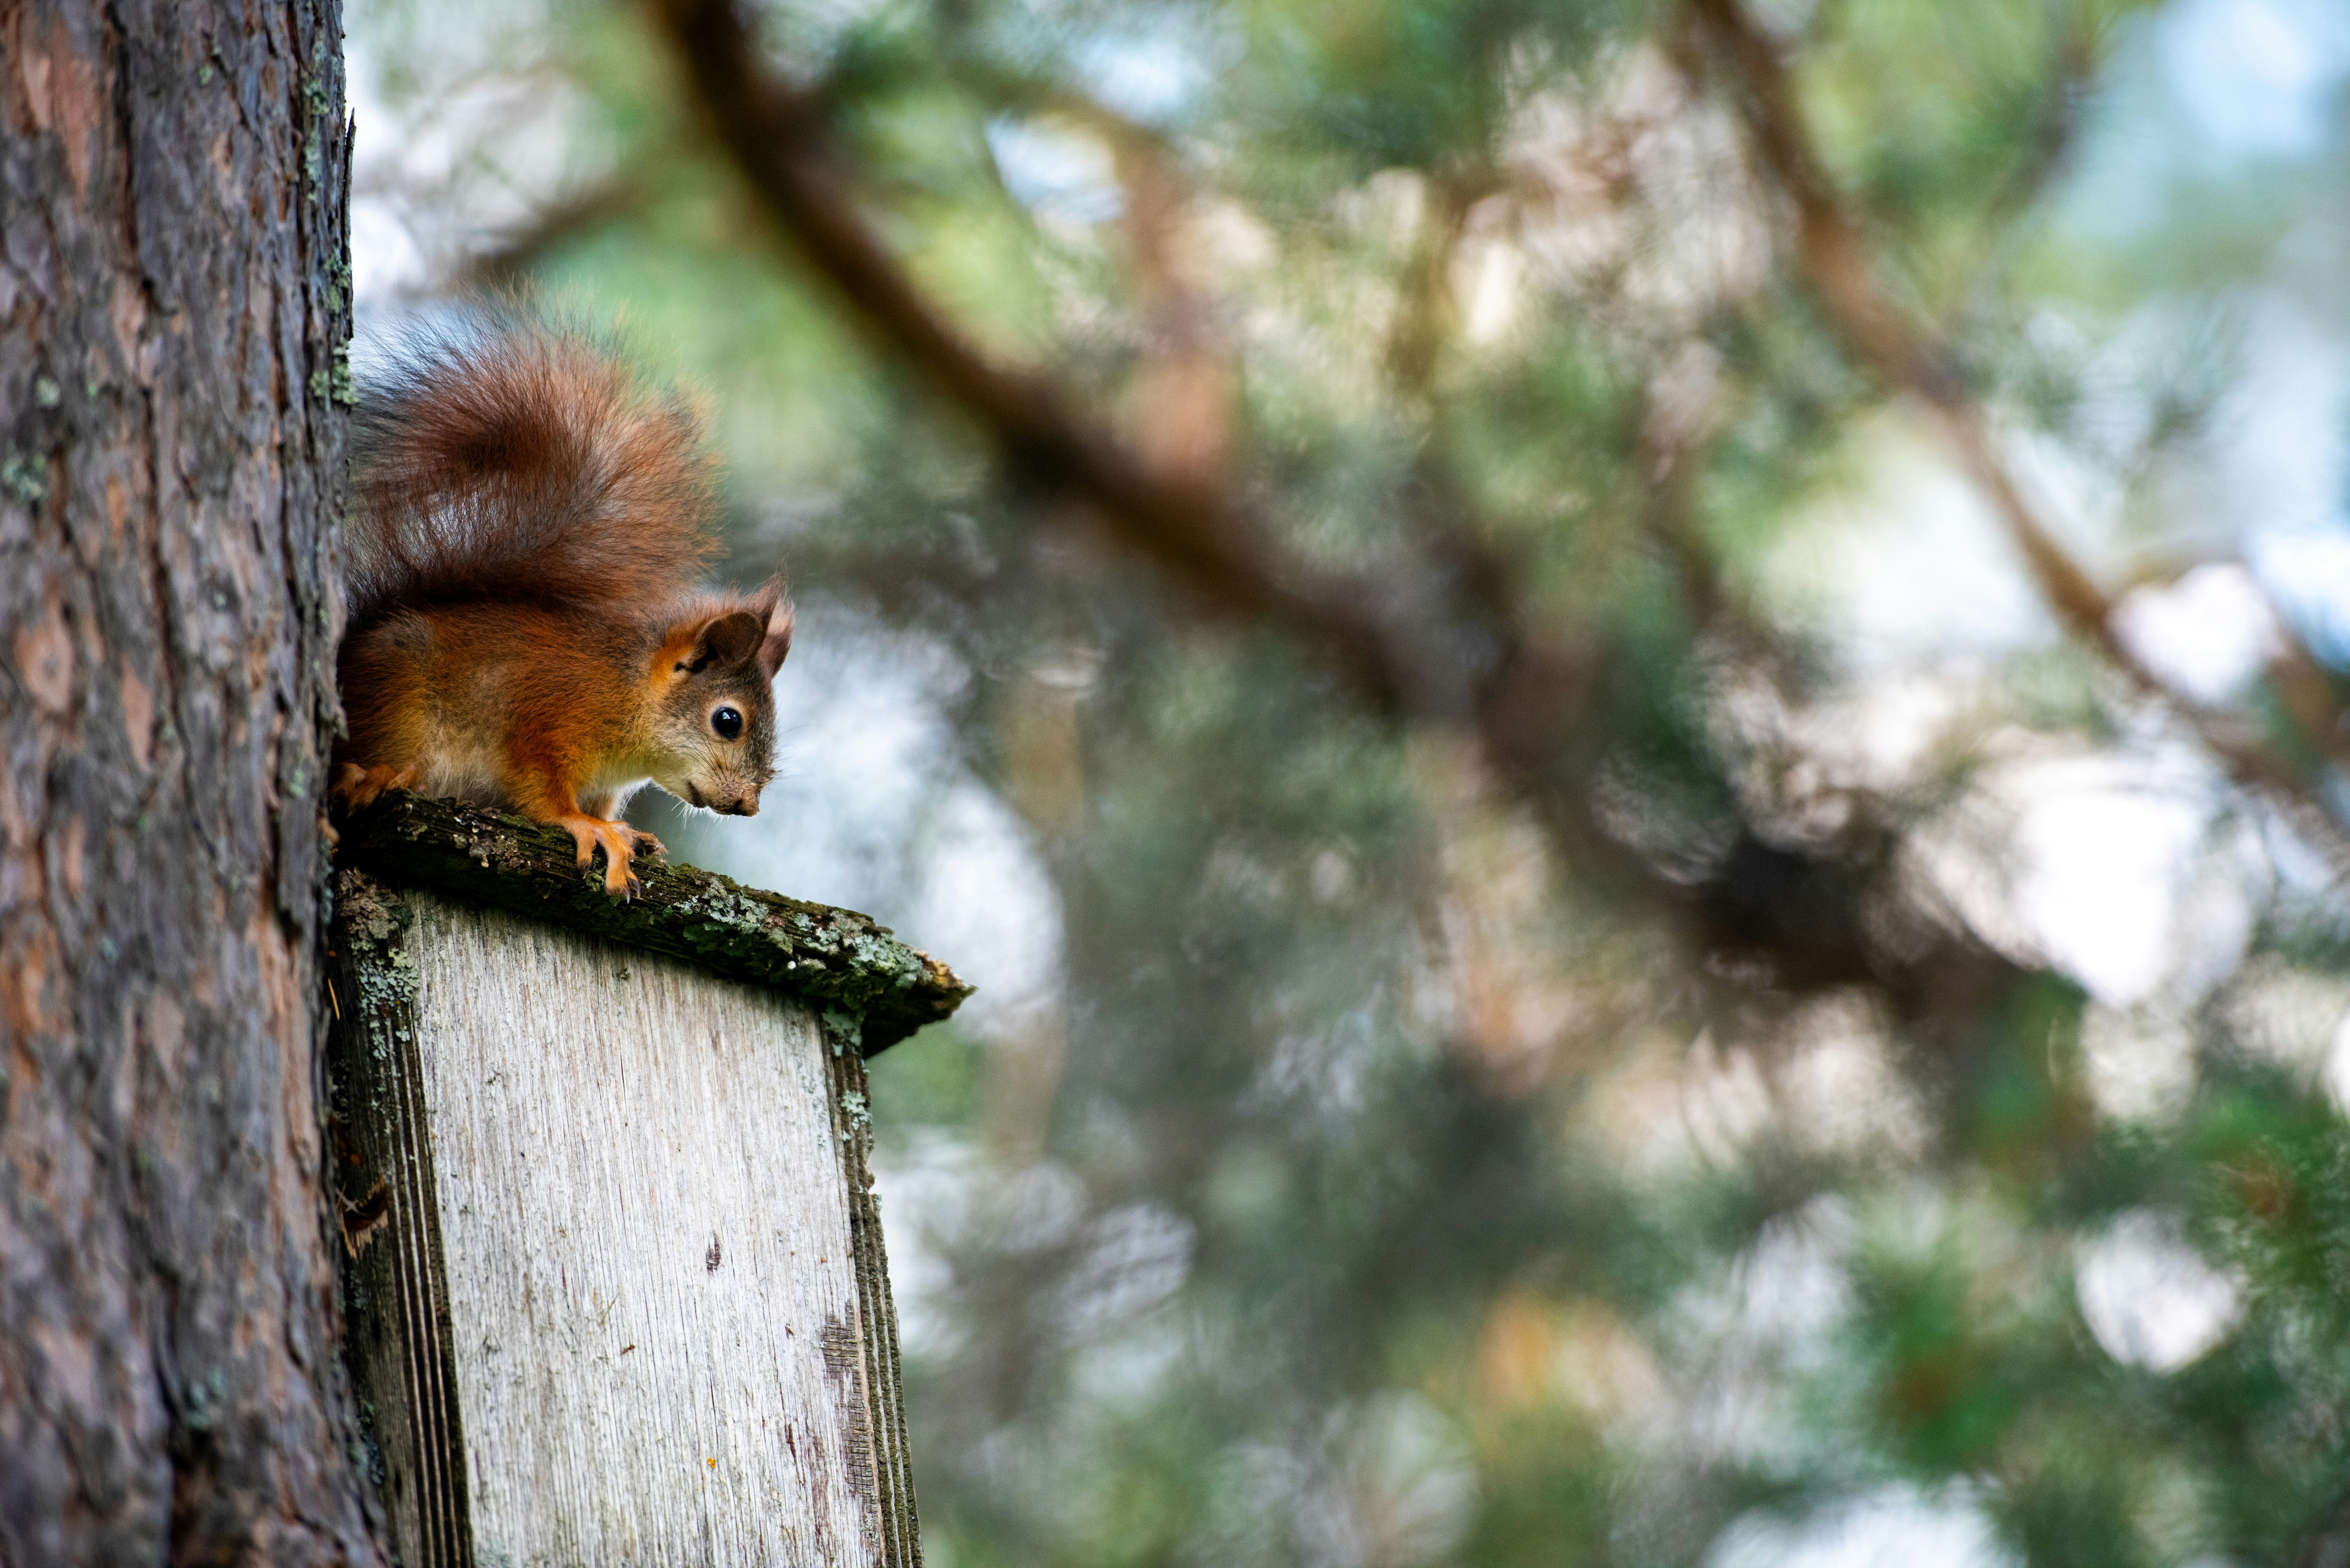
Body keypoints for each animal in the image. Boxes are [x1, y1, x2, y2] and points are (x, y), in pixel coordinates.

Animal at [330, 322, 791, 899]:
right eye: (728, 720)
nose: (748, 806)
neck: (628, 696)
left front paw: (625, 831)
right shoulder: (544, 718)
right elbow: (543, 792)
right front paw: (588, 827)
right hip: (397, 699)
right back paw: (378, 776)